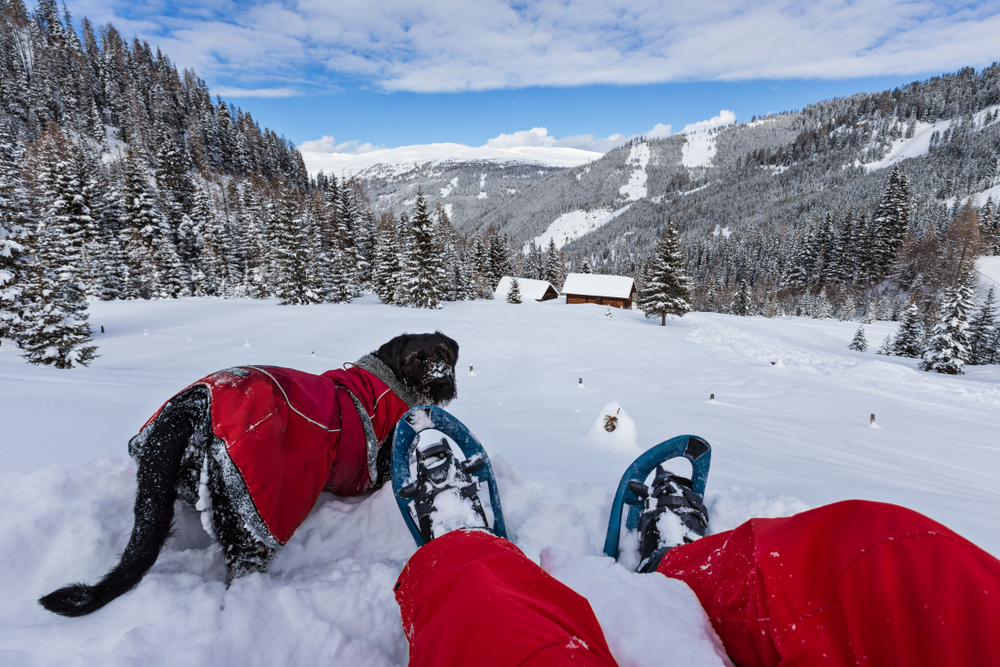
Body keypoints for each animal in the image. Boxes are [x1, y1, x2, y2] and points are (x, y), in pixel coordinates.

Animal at [39, 332, 458, 620]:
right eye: (417, 358)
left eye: (445, 355)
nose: (442, 381)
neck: (389, 383)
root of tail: (189, 408)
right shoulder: (376, 469)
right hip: (251, 512)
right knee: (242, 568)